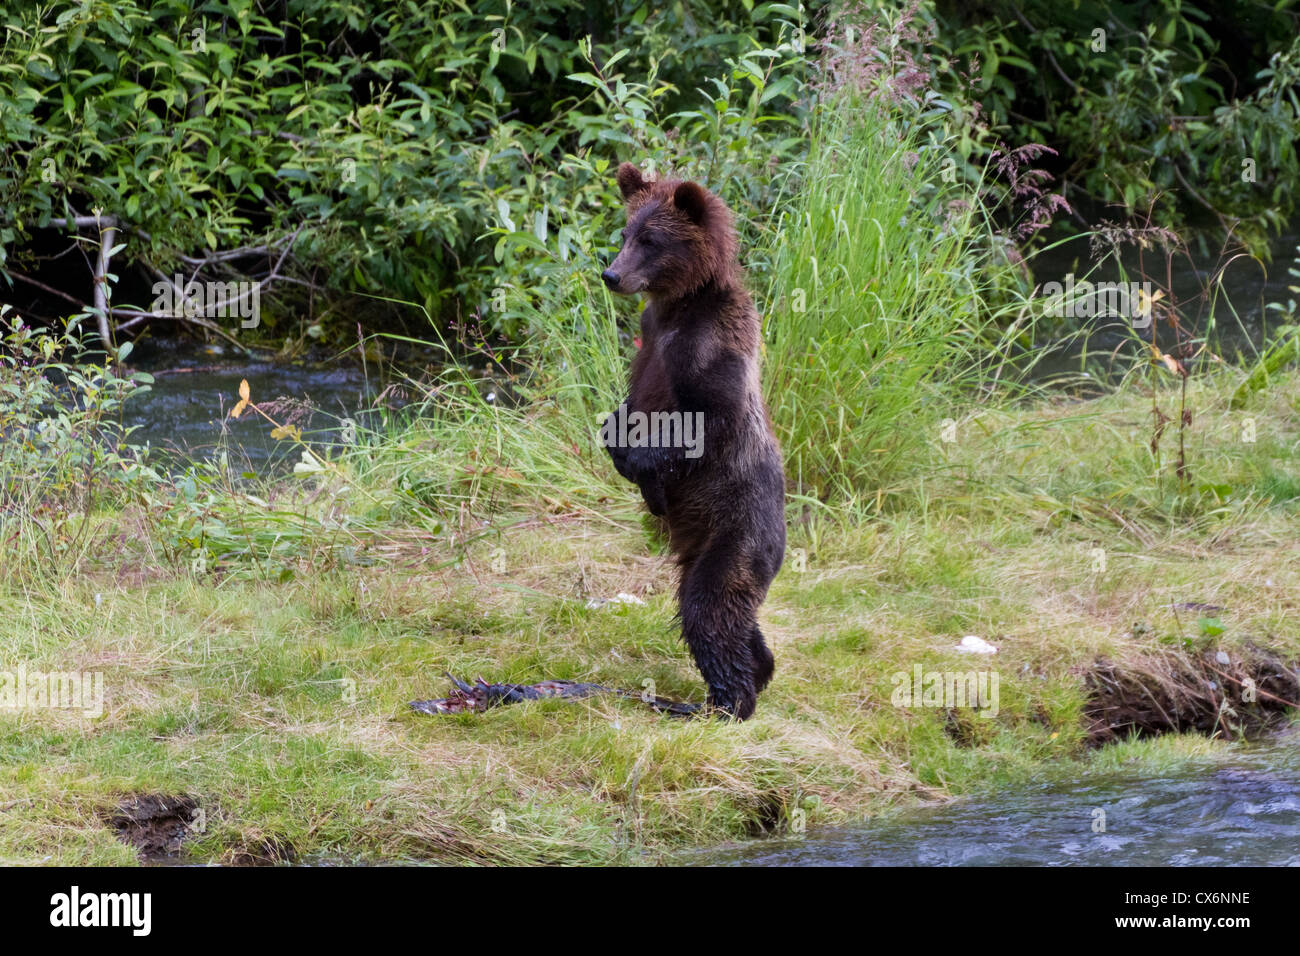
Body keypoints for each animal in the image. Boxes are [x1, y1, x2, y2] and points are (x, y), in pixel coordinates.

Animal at [599, 161, 786, 720]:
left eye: (651, 239)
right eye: (625, 232)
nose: (611, 274)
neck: (678, 306)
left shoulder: (711, 345)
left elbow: (707, 421)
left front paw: (647, 476)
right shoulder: (648, 342)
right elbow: (622, 413)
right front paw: (625, 456)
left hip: (737, 533)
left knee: (709, 605)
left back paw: (724, 702)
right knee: (728, 615)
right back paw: (758, 669)